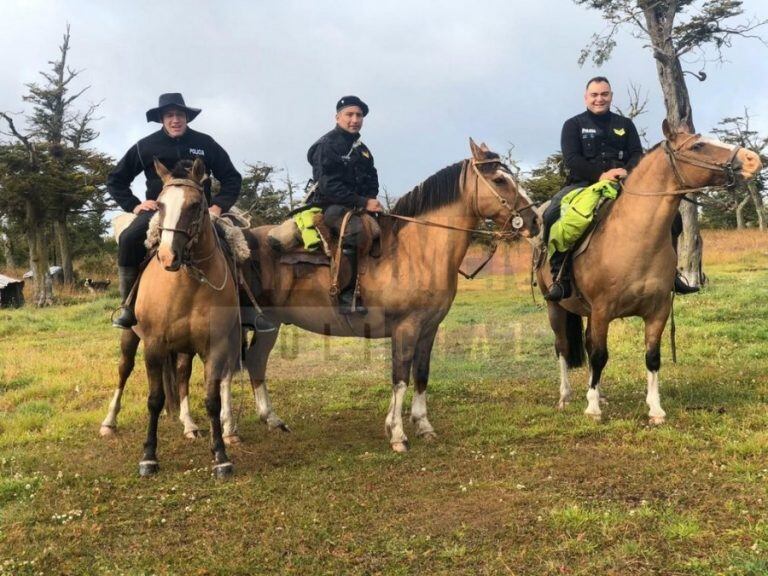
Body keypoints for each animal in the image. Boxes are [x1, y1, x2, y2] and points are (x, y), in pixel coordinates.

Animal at [109, 158, 242, 476]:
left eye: (195, 205)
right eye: (159, 204)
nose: (168, 256)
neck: (186, 284)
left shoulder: (215, 346)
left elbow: (212, 400)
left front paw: (221, 456)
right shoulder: (154, 345)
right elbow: (154, 400)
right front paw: (148, 457)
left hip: (185, 348)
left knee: (181, 375)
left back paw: (189, 424)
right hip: (130, 338)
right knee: (123, 370)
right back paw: (108, 422)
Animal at [243, 141, 536, 454]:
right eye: (500, 180)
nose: (535, 220)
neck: (416, 251)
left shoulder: (428, 329)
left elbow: (421, 375)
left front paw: (423, 425)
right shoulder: (405, 328)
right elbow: (400, 378)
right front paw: (397, 434)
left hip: (269, 324)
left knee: (255, 361)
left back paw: (272, 420)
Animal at [540, 121, 760, 424]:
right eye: (697, 146)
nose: (753, 159)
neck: (634, 238)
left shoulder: (658, 310)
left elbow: (652, 357)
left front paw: (655, 409)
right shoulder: (602, 310)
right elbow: (599, 356)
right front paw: (592, 409)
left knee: (584, 344)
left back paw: (599, 393)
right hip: (556, 307)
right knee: (562, 347)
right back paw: (566, 396)